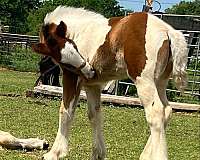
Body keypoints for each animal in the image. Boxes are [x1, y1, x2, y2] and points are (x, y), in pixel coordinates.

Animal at [32, 6, 188, 160]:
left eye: (75, 47)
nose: (90, 70)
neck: (79, 30)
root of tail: (168, 31)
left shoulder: (72, 77)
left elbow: (66, 111)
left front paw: (55, 153)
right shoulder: (92, 85)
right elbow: (94, 115)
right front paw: (98, 153)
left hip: (144, 81)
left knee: (156, 113)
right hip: (160, 82)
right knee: (166, 110)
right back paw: (145, 155)